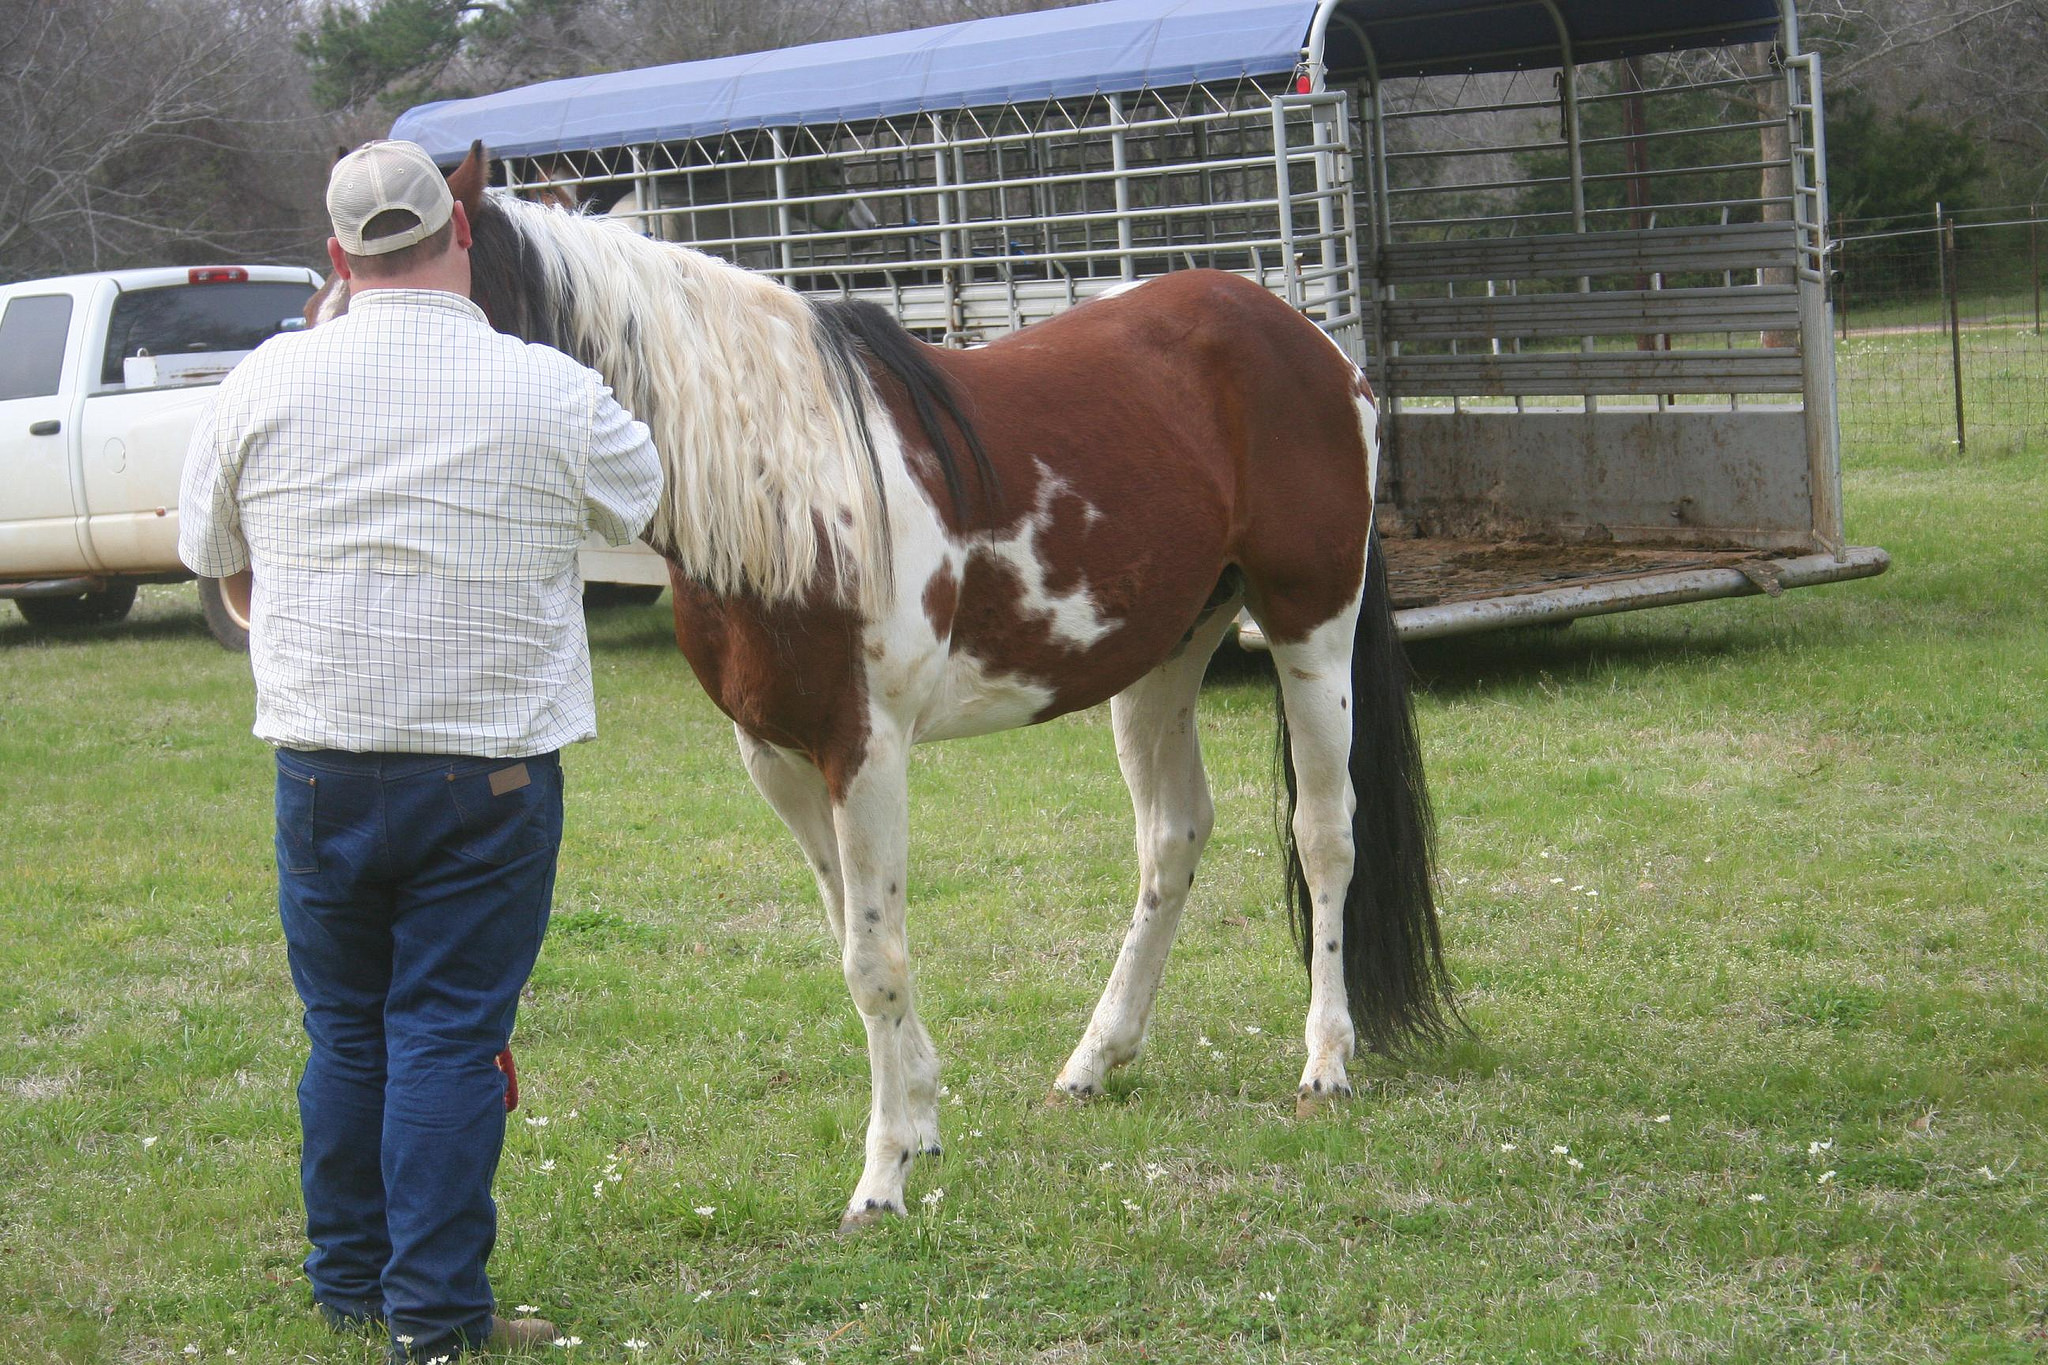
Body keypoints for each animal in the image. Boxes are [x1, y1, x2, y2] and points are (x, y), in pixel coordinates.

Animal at [331, 143, 1455, 1229]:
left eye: (425, 322)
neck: (789, 484)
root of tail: (1308, 344)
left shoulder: (863, 750)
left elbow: (875, 962)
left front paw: (880, 1183)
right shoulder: (777, 757)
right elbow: (854, 941)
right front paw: (918, 1123)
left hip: (1309, 623)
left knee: (1324, 831)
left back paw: (1325, 1060)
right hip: (1163, 655)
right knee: (1171, 839)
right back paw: (1095, 1059)